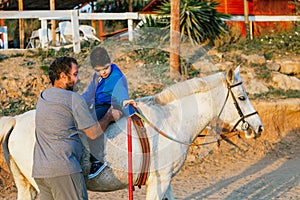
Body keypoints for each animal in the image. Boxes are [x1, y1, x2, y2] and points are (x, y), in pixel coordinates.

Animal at [0, 66, 262, 199]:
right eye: (242, 97)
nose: (258, 127)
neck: (170, 120)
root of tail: (16, 120)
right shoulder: (160, 180)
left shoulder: (165, 181)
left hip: (27, 186)